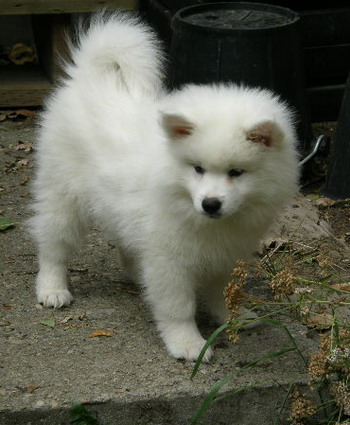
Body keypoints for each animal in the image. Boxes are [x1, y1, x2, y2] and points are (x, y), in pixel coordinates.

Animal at [30, 11, 300, 360]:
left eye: (236, 172)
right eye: (197, 169)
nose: (210, 204)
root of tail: (89, 78)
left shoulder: (221, 255)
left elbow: (222, 292)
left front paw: (233, 318)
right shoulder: (170, 258)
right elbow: (178, 307)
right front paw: (188, 343)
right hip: (63, 195)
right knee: (53, 243)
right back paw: (52, 288)